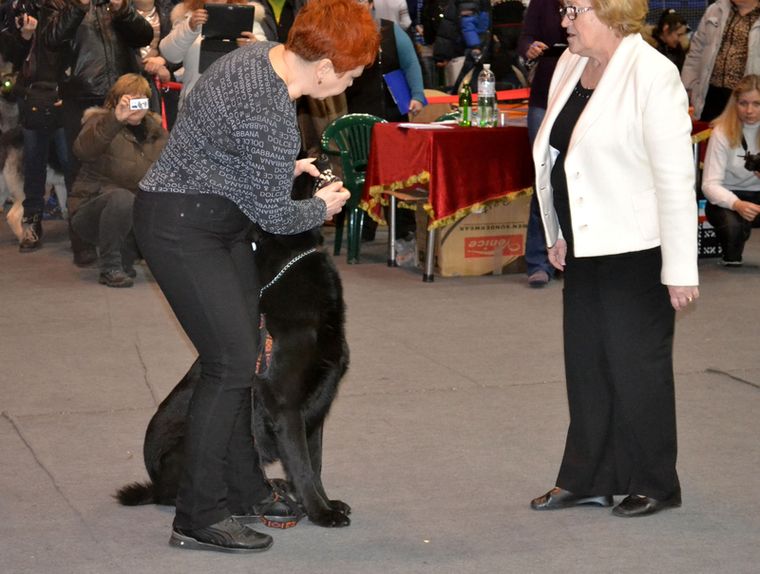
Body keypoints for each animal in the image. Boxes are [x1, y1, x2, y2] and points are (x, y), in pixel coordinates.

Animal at [116, 223, 354, 528]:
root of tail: (154, 484)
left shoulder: (317, 409)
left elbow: (315, 464)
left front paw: (326, 503)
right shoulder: (287, 408)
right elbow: (302, 466)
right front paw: (320, 512)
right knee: (180, 494)